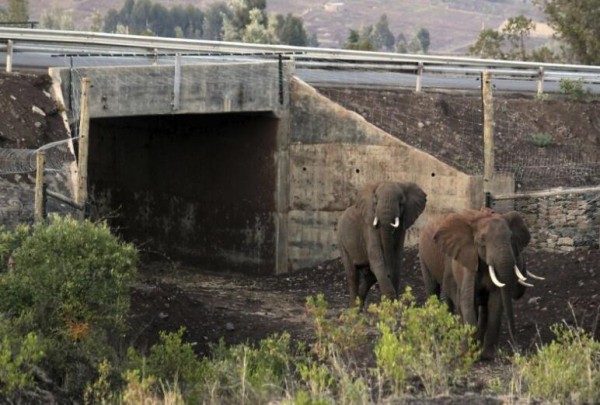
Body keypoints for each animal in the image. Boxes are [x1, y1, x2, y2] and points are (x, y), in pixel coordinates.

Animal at [418, 207, 544, 358]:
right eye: (482, 240)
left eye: (511, 237)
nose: (516, 349)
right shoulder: (467, 259)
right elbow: (467, 300)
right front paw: (470, 354)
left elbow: (495, 302)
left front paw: (487, 356)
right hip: (424, 255)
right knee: (434, 291)